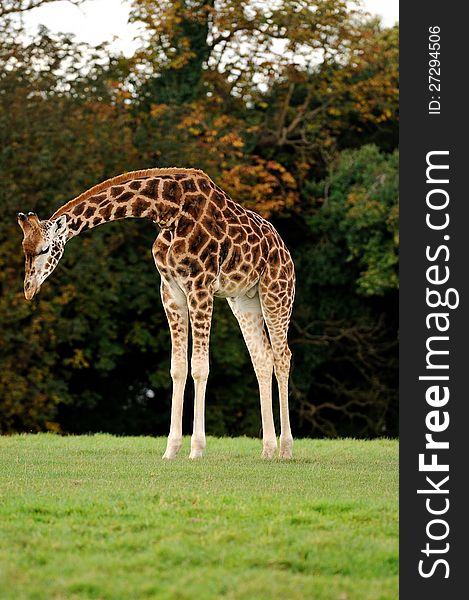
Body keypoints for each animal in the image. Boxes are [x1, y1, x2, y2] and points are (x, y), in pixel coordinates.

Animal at [20, 169, 296, 460]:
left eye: (45, 249)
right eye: (24, 249)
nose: (28, 289)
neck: (169, 211)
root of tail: (284, 249)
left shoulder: (201, 285)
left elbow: (200, 367)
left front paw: (196, 449)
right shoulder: (171, 289)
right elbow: (178, 368)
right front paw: (171, 449)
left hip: (277, 292)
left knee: (283, 356)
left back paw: (286, 449)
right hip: (244, 299)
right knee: (263, 358)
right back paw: (267, 450)